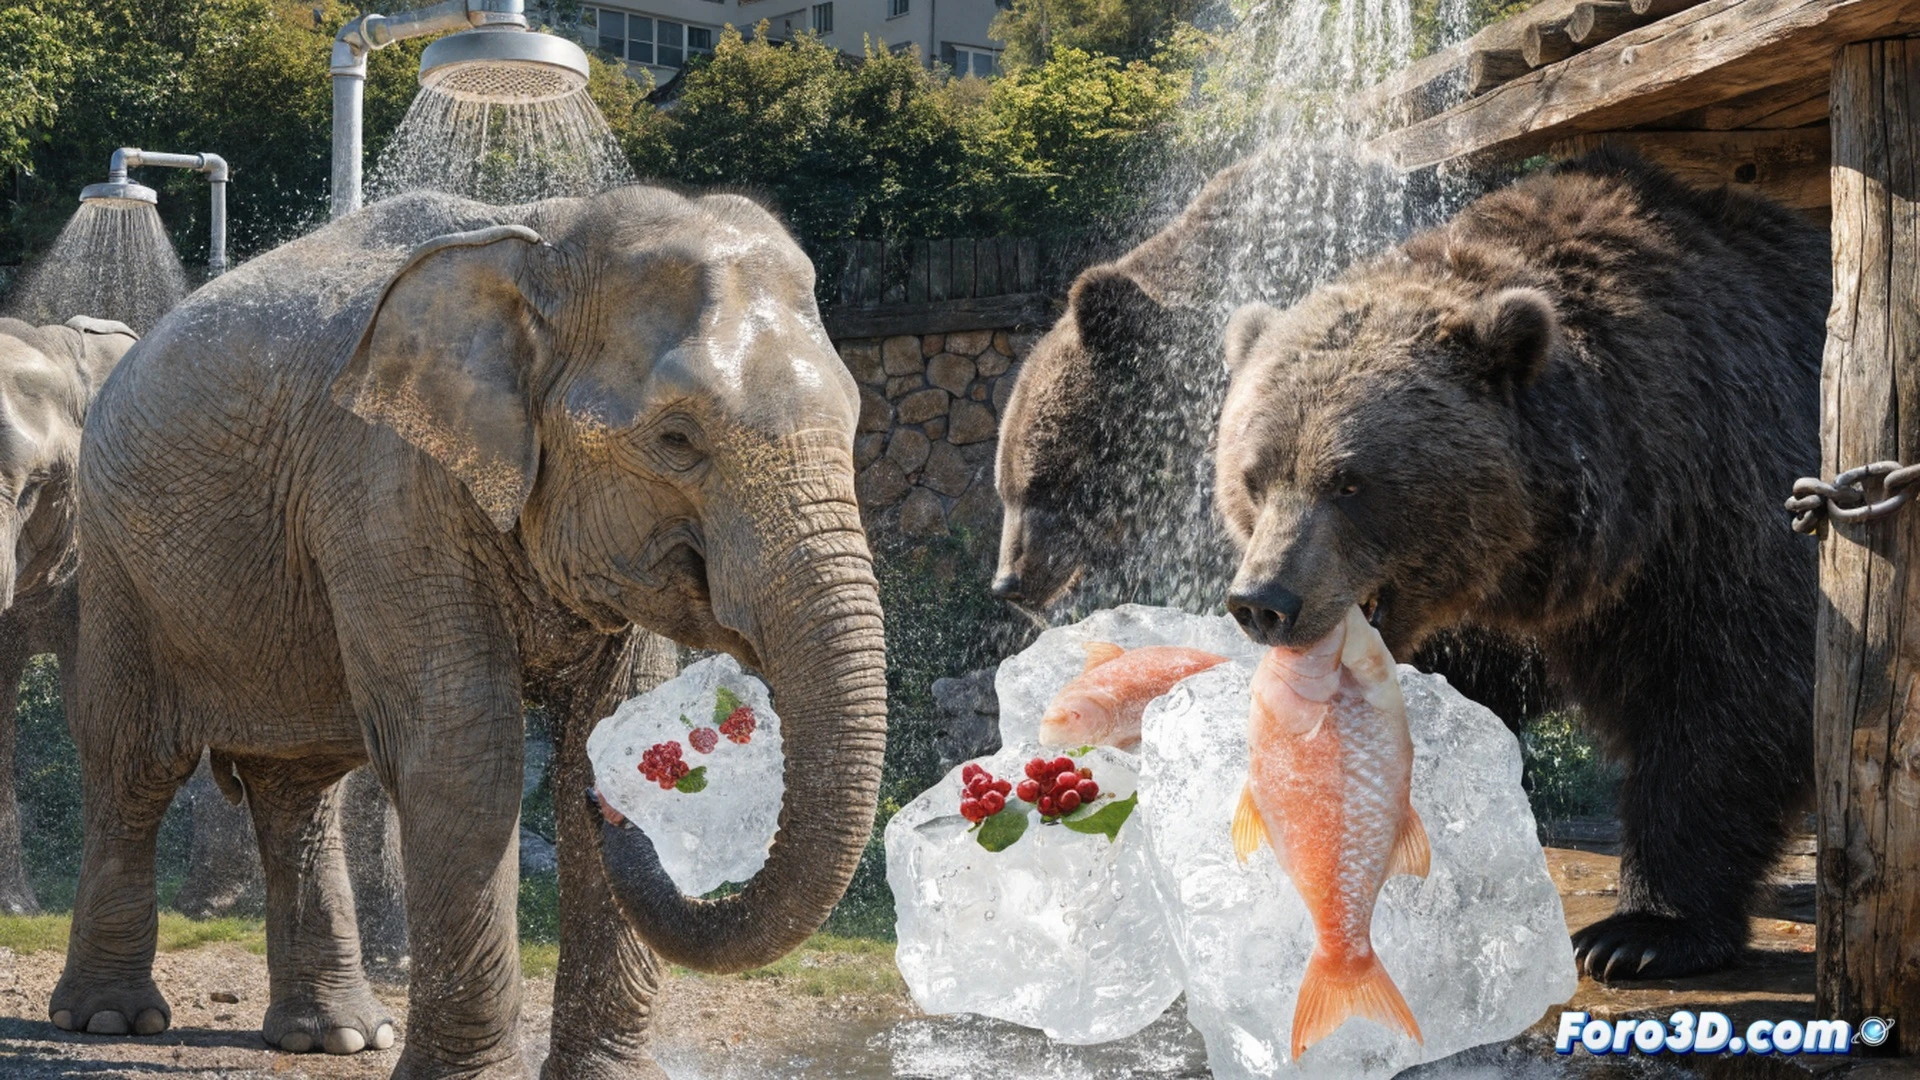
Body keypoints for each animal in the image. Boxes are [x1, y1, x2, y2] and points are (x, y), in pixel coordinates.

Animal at [50, 185, 887, 1079]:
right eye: (677, 440)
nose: (607, 809)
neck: (547, 243)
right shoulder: (386, 486)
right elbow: (464, 750)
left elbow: (606, 713)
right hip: (115, 562)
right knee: (134, 763)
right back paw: (111, 1020)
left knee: (296, 789)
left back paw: (338, 1036)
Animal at [1215, 149, 1827, 980]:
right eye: (1254, 476)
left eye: (1349, 482)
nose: (1264, 600)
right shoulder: (1479, 614)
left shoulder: (1727, 504)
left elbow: (1733, 699)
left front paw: (1640, 931)